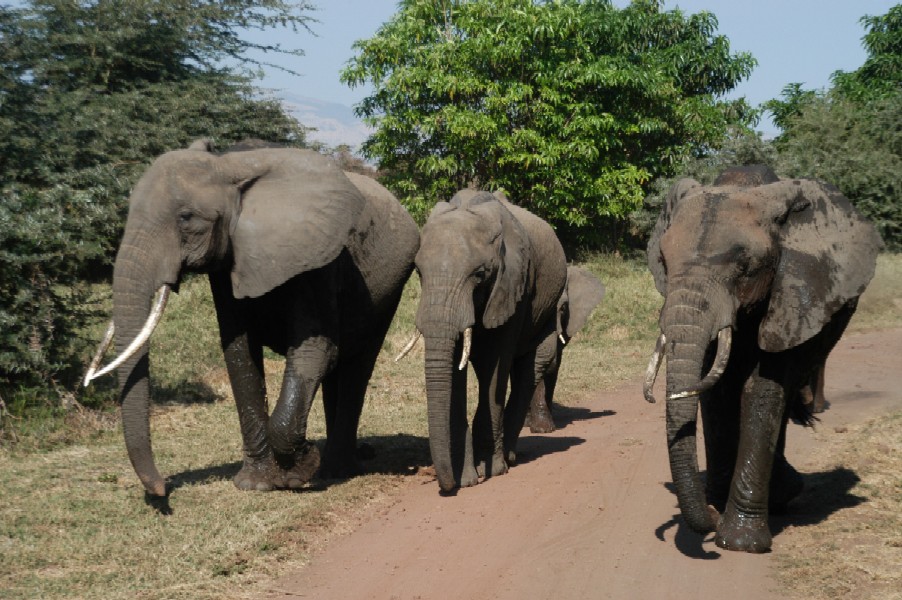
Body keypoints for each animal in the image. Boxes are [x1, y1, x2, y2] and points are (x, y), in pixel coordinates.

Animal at [83, 141, 422, 496]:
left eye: (186, 218)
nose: (162, 488)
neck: (230, 166)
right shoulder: (229, 262)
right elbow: (239, 352)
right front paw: (256, 484)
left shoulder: (317, 257)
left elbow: (315, 350)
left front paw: (299, 470)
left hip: (389, 285)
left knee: (357, 363)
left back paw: (336, 469)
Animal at [414, 190, 568, 490]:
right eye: (418, 272)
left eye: (479, 275)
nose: (446, 485)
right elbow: (454, 371)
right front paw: (465, 479)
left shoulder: (513, 286)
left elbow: (494, 367)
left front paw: (492, 469)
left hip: (548, 309)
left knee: (530, 370)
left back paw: (508, 457)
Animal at [644, 164, 884, 552]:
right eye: (663, 262)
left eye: (745, 267)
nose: (708, 518)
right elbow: (717, 391)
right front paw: (716, 507)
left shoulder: (792, 292)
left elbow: (760, 389)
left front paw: (740, 541)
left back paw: (782, 494)